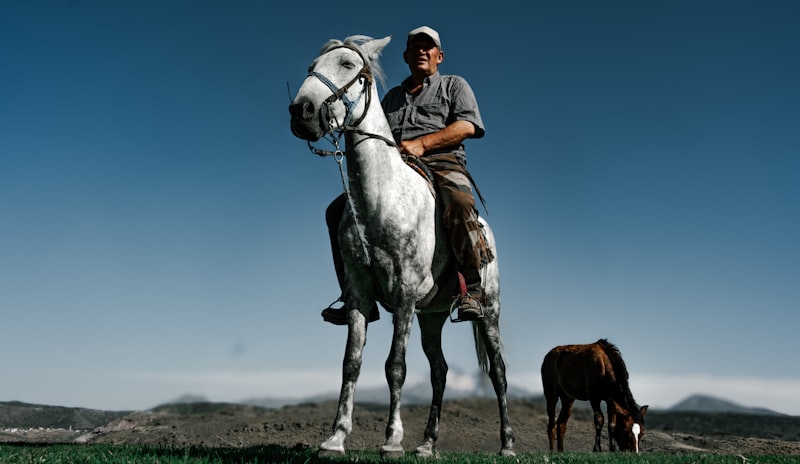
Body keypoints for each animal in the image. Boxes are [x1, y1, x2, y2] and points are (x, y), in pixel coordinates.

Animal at [290, 35, 516, 456]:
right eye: (312, 66)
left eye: (348, 65)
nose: (302, 111)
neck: (381, 201)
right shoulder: (361, 295)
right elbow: (351, 364)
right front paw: (336, 437)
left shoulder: (406, 294)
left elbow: (395, 366)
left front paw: (392, 439)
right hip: (431, 317)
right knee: (440, 371)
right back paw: (427, 443)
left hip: (489, 311)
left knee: (499, 372)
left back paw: (507, 444)